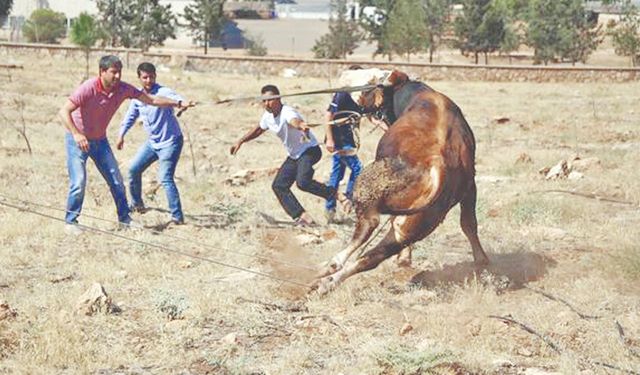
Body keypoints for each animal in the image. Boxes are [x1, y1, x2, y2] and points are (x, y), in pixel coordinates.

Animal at [316, 70, 490, 294]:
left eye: (372, 83)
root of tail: (438, 165)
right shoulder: (470, 186)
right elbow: (469, 223)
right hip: (417, 224)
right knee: (372, 257)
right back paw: (328, 281)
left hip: (371, 187)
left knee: (368, 226)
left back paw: (331, 266)